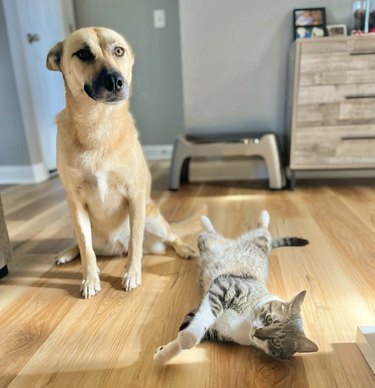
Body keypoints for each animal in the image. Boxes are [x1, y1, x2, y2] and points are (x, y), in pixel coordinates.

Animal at [46, 27, 197, 298]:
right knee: (82, 243)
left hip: (153, 219)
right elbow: (86, 249)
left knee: (170, 238)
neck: (98, 125)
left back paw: (184, 249)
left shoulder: (134, 196)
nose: (116, 82)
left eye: (118, 51)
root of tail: (115, 248)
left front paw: (132, 274)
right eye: (83, 53)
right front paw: (89, 280)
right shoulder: (75, 202)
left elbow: (136, 242)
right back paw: (67, 252)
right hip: (78, 222)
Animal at [154, 211, 318, 362]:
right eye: (269, 319)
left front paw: (164, 353)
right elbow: (204, 315)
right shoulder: (227, 286)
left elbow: (186, 334)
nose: (256, 333)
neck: (245, 324)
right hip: (254, 241)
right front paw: (186, 338)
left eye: (276, 342)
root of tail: (230, 242)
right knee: (258, 231)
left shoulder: (216, 331)